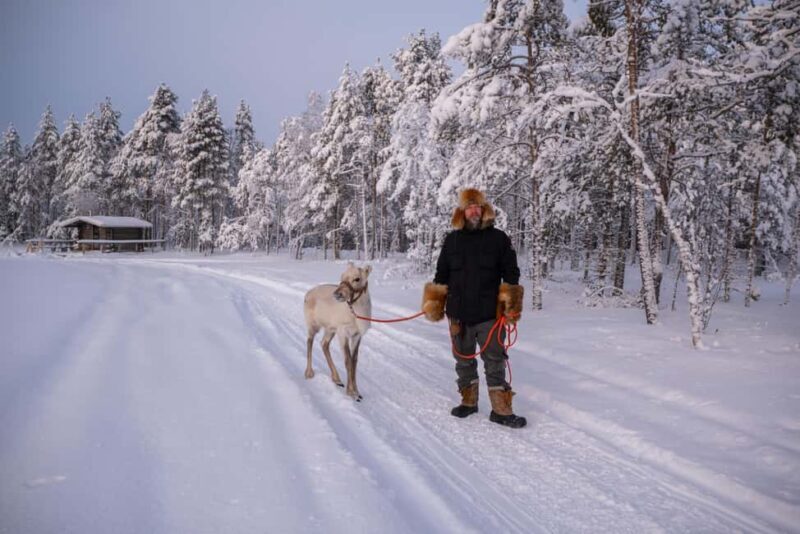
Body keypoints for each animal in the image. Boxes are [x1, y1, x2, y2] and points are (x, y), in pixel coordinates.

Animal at [303, 262, 372, 400]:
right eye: (342, 276)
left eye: (357, 279)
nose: (337, 294)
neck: (357, 312)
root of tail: (307, 295)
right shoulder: (343, 332)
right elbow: (347, 361)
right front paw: (351, 392)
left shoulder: (357, 335)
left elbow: (354, 361)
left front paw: (357, 391)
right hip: (313, 325)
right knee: (309, 342)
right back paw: (309, 372)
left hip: (330, 329)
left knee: (324, 344)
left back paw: (337, 378)